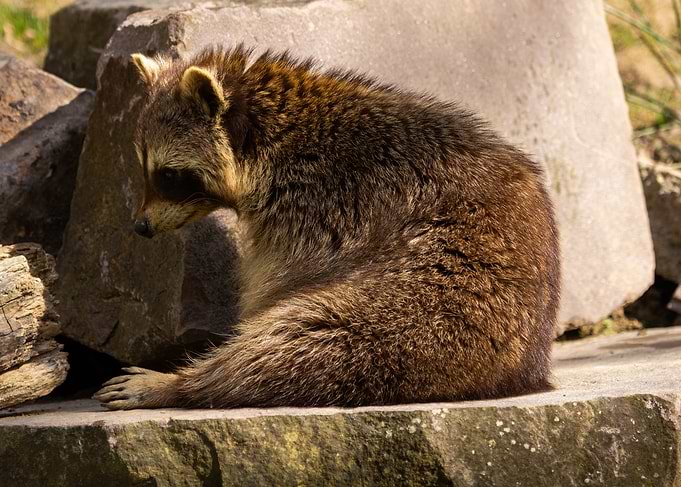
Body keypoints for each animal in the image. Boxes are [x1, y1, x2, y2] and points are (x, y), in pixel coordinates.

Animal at [94, 45, 560, 410]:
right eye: (144, 168)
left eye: (169, 175)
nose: (140, 226)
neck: (270, 138)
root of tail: (522, 370)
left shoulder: (319, 207)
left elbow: (276, 291)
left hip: (431, 305)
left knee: (301, 339)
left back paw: (187, 384)